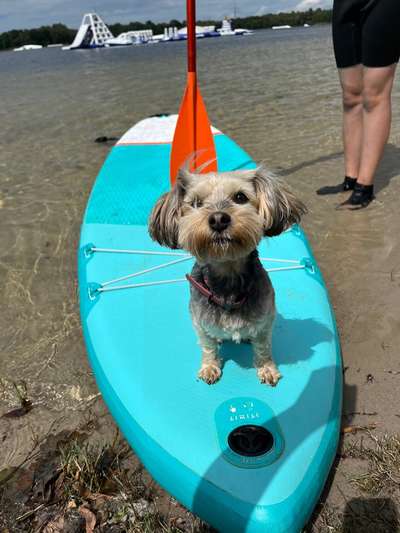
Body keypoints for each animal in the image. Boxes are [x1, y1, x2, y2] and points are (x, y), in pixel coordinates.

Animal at [148, 166, 306, 382]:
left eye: (240, 197)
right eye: (196, 203)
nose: (218, 219)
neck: (227, 278)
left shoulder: (265, 322)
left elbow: (263, 347)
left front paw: (267, 368)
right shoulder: (199, 323)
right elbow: (207, 346)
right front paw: (209, 367)